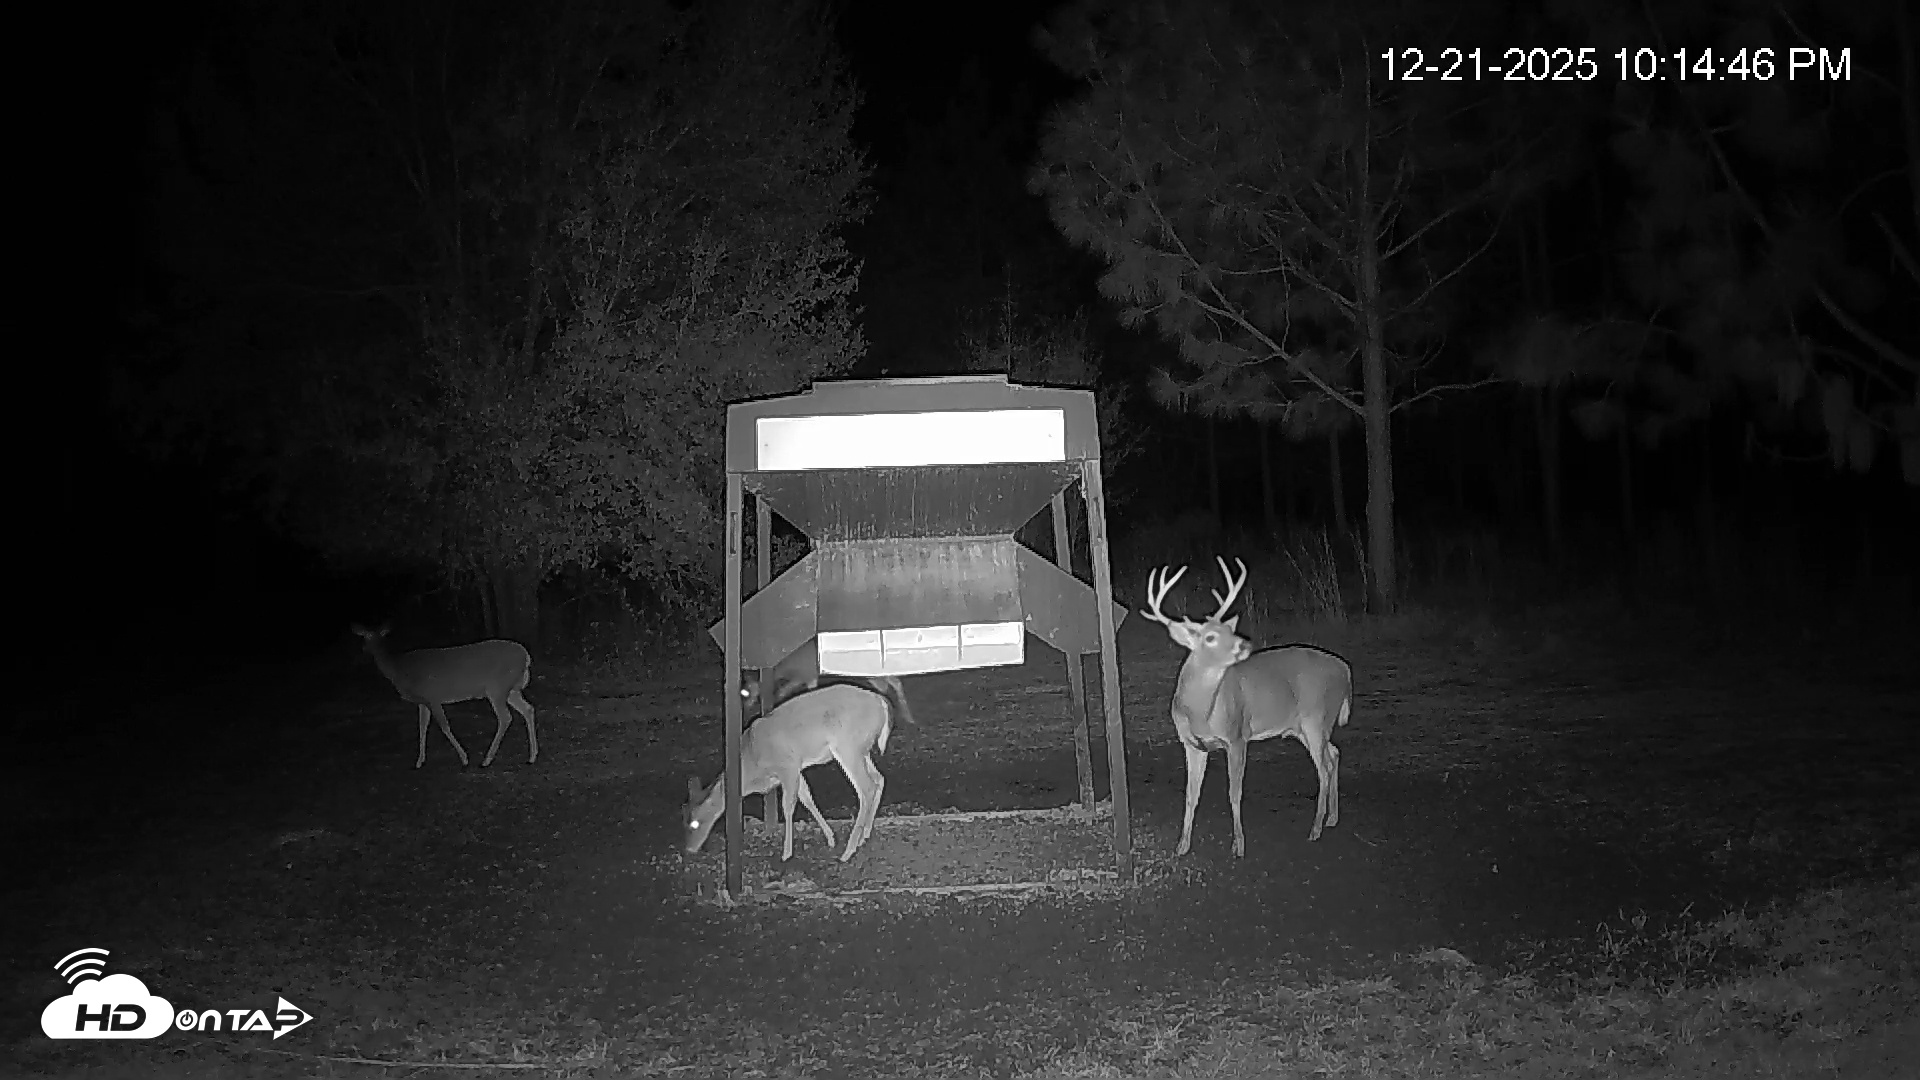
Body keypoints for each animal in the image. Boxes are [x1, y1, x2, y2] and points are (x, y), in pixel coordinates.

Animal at [351, 624, 538, 769]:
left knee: (505, 717)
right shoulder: (423, 702)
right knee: (528, 709)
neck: (400, 670)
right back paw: (532, 756)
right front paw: (419, 761)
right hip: (510, 689)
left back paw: (486, 760)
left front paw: (464, 759)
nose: (362, 650)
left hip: (497, 686)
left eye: (366, 637)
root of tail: (526, 656)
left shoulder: (433, 696)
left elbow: (444, 726)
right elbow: (422, 726)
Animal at [683, 682, 893, 863]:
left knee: (866, 787)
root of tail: (880, 703)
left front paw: (786, 853)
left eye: (695, 823)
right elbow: (807, 797)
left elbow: (789, 805)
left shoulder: (788, 765)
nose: (689, 849)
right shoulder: (796, 769)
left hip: (848, 746)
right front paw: (830, 838)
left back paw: (848, 851)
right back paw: (864, 836)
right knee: (879, 778)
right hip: (862, 749)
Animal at [1140, 557, 1353, 856]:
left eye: (1230, 630)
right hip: (1304, 727)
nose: (1244, 644)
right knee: (1334, 754)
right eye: (1210, 637)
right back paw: (1332, 818)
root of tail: (1345, 670)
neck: (1200, 713)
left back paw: (1315, 829)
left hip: (1316, 717)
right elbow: (1191, 795)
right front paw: (1182, 846)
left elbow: (1234, 792)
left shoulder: (1237, 736)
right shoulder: (1192, 744)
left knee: (1324, 768)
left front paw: (1238, 845)